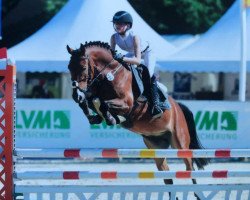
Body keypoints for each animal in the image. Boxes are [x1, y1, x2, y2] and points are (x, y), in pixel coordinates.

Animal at [66, 41, 209, 194]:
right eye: (69, 67)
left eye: (83, 67)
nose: (76, 96)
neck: (109, 75)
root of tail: (179, 107)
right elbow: (90, 103)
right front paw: (97, 116)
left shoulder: (127, 104)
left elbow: (104, 105)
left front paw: (113, 119)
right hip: (156, 146)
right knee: (167, 174)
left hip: (180, 143)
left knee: (190, 168)